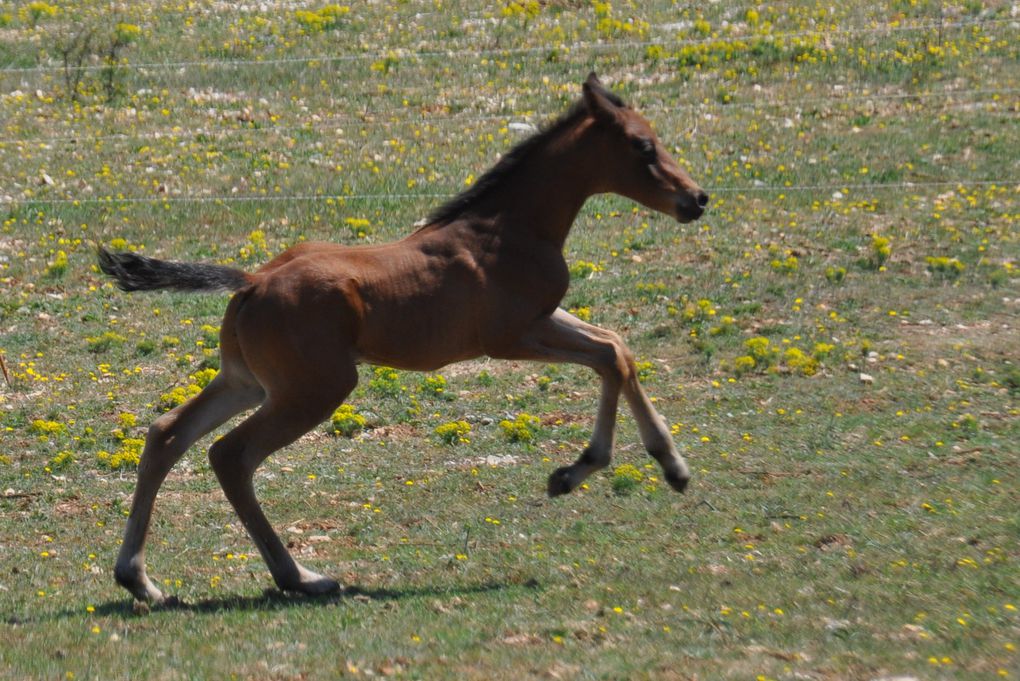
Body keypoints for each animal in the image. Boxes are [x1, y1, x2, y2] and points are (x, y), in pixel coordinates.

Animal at [103, 73, 709, 599]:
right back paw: (299, 577)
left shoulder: (545, 318)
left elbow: (618, 347)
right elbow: (608, 353)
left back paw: (139, 579)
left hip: (245, 381)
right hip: (314, 390)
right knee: (231, 455)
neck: (508, 229)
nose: (697, 199)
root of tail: (252, 281)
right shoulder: (513, 335)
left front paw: (670, 467)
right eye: (643, 145)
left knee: (167, 434)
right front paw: (576, 471)